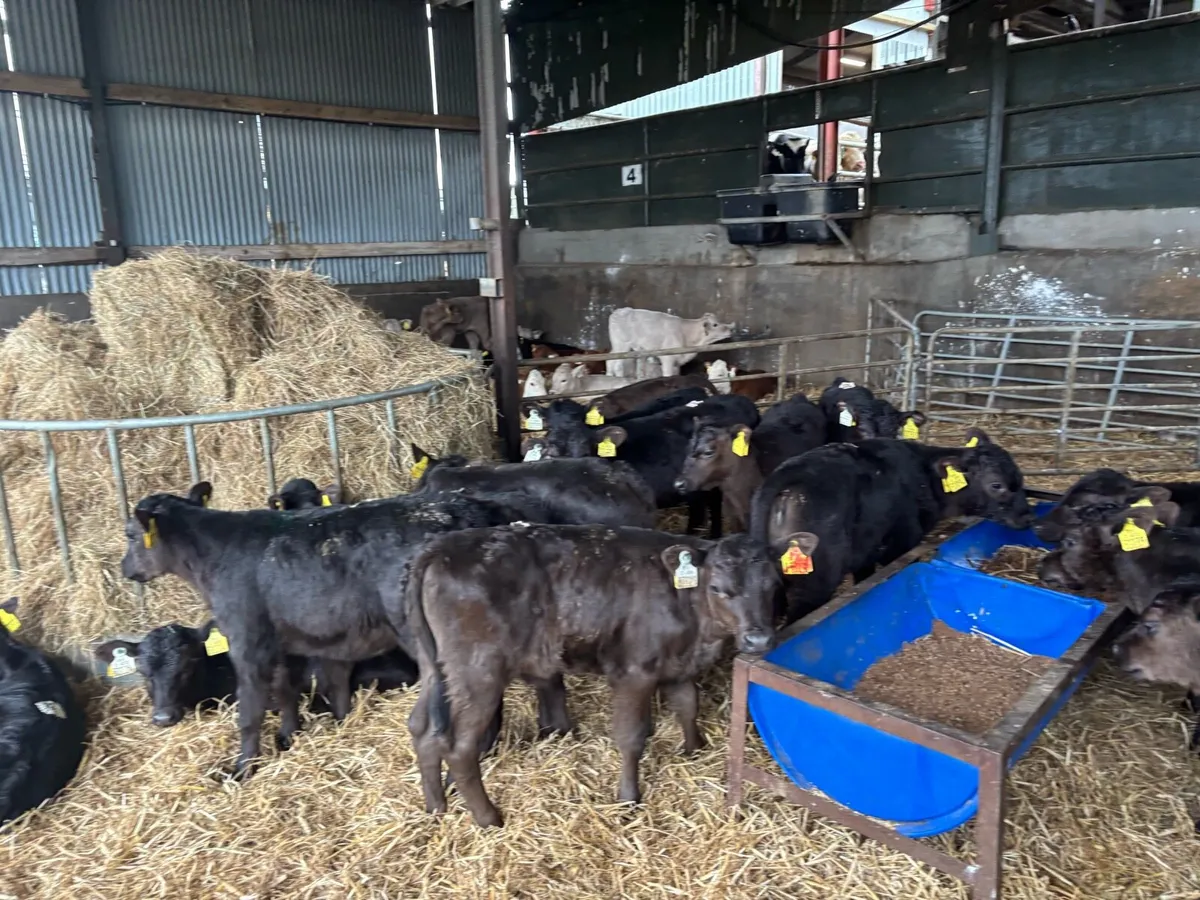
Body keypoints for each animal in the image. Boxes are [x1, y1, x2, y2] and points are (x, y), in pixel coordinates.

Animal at [404, 524, 794, 826]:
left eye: (775, 585)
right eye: (717, 588)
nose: (759, 639)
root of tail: (440, 548)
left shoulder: (678, 665)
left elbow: (688, 706)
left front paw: (693, 749)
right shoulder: (634, 672)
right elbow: (631, 737)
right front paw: (629, 798)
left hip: (436, 666)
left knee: (422, 728)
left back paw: (435, 808)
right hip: (478, 672)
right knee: (458, 746)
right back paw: (488, 818)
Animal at [607, 309, 735, 379]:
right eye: (715, 324)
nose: (730, 329)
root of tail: (619, 311)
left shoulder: (677, 363)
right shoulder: (667, 358)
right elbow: (667, 375)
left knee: (609, 360)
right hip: (622, 345)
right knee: (617, 364)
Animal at [750, 428, 1033, 622]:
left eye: (1020, 477)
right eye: (997, 485)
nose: (1027, 516)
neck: (923, 474)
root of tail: (792, 471)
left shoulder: (865, 551)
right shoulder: (901, 542)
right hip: (815, 583)